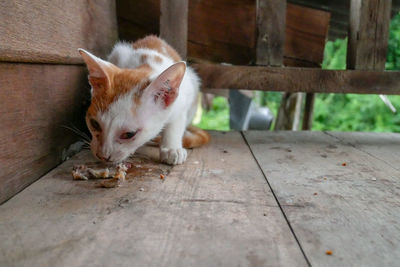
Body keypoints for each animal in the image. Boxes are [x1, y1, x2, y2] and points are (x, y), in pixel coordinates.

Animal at [77, 35, 209, 165]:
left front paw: (172, 148)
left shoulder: (184, 97)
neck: (147, 65)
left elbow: (176, 122)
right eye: (94, 124)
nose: (102, 156)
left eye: (129, 134)